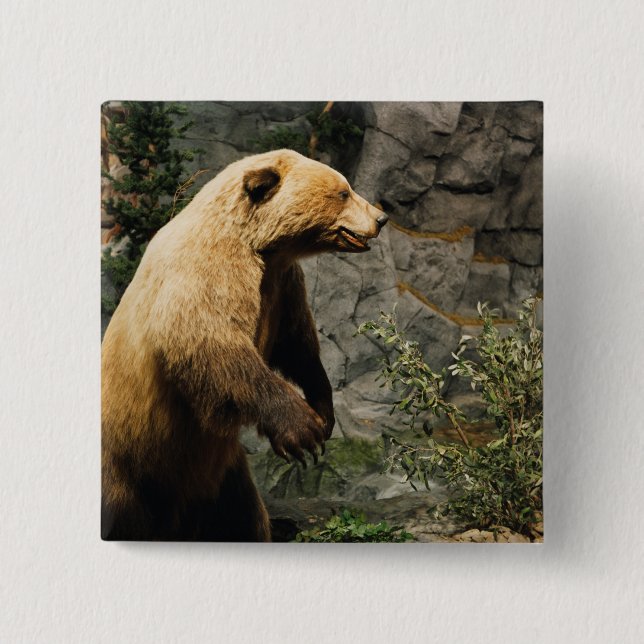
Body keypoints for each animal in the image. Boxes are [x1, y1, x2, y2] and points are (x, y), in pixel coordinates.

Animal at [101, 149, 388, 541]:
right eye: (343, 192)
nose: (381, 218)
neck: (261, 246)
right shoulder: (206, 273)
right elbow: (214, 345)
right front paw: (303, 430)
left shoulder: (282, 286)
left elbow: (297, 344)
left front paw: (323, 410)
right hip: (127, 464)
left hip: (221, 475)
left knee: (240, 516)